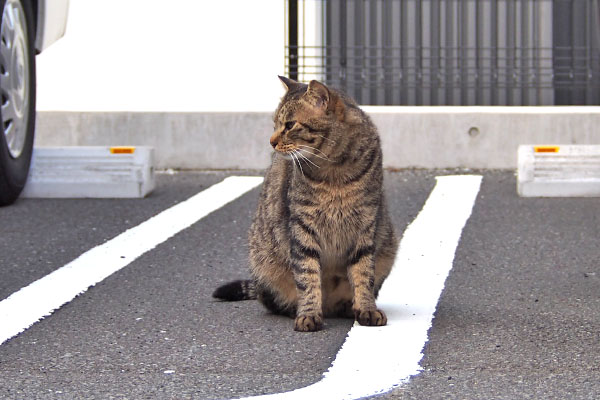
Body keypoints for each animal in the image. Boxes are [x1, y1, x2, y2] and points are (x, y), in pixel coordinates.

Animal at [212, 75, 398, 332]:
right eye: (275, 124)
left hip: (388, 247)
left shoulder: (366, 224)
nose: (271, 142)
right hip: (264, 264)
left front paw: (366, 309)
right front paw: (309, 313)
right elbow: (307, 275)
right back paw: (298, 309)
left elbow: (363, 274)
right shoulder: (302, 226)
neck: (335, 172)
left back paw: (347, 307)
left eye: (290, 125)